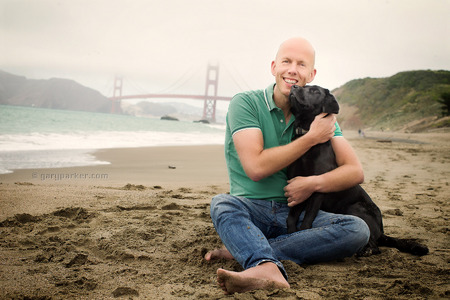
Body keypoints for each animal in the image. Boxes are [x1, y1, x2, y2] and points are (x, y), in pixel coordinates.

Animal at [286, 84, 428, 255]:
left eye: (314, 91)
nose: (294, 86)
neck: (306, 136)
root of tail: (381, 231)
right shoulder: (298, 186)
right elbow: (291, 216)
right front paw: (291, 232)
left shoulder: (317, 187)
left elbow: (308, 218)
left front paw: (302, 232)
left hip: (354, 207)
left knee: (374, 245)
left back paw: (365, 251)